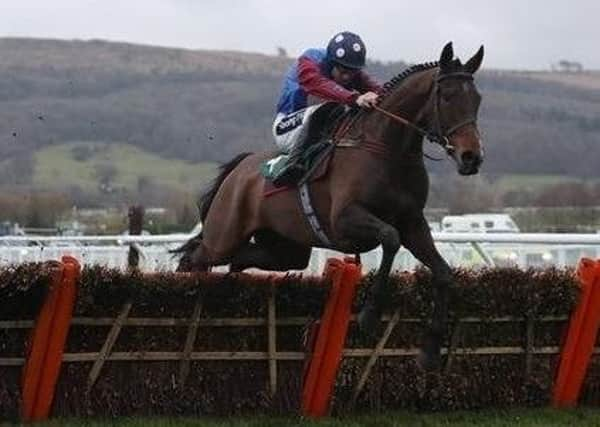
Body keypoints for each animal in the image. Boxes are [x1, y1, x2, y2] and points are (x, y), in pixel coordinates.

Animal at [173, 43, 482, 372]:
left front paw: (431, 351)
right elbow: (390, 238)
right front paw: (369, 315)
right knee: (195, 257)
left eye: (477, 99)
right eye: (447, 96)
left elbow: (443, 273)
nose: (471, 157)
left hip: (284, 250)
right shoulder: (345, 220)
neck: (386, 149)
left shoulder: (413, 223)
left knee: (239, 260)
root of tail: (239, 169)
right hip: (224, 234)